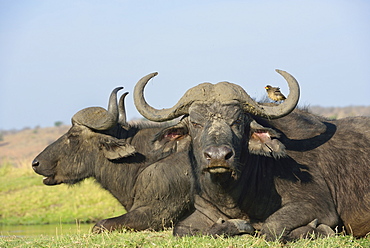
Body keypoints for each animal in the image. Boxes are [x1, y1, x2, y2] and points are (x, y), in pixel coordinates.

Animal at [134, 69, 370, 240]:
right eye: (195, 123)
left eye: (238, 121)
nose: (218, 156)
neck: (232, 194)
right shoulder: (204, 211)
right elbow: (181, 229)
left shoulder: (319, 205)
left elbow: (272, 227)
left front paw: (318, 230)